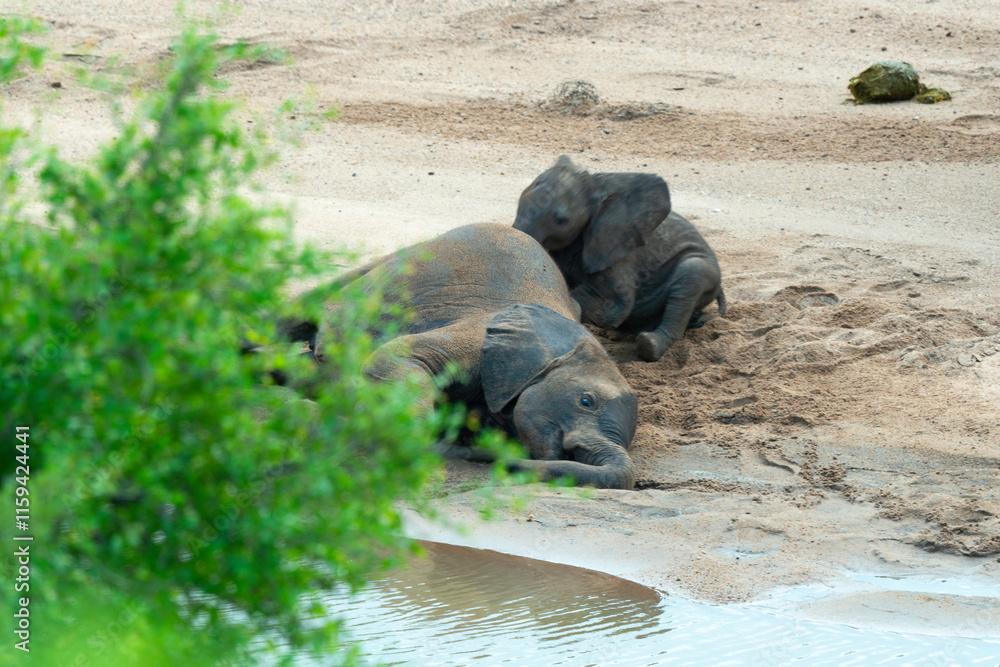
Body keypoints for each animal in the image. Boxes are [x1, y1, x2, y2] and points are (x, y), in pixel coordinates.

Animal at [512, 155, 727, 362]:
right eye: (520, 200)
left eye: (561, 220)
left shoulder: (619, 246)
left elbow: (610, 303)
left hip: (701, 266)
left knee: (691, 277)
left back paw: (651, 344)